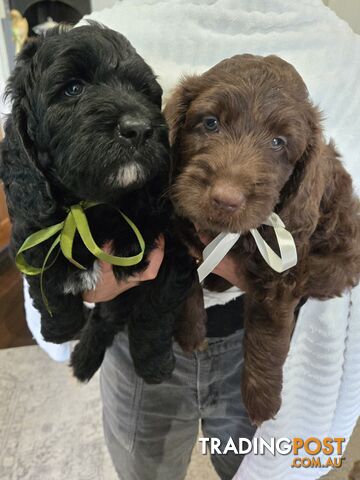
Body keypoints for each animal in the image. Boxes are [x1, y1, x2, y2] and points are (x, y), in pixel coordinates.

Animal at [0, 23, 204, 382]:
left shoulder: (172, 254)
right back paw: (83, 357)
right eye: (73, 89)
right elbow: (47, 288)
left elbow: (152, 313)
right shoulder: (30, 237)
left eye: (144, 92)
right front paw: (60, 329)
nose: (138, 129)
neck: (92, 207)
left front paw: (153, 365)